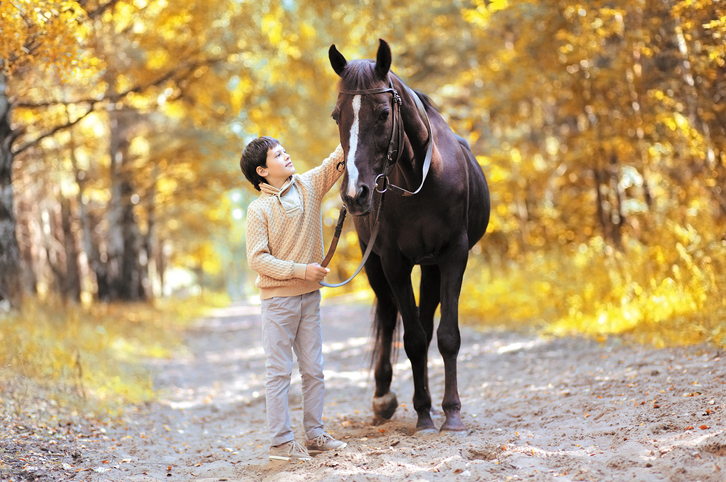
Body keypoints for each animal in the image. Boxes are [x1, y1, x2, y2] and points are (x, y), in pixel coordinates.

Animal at [327, 39, 491, 435]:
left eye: (384, 113)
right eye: (337, 115)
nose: (355, 195)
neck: (422, 180)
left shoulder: (453, 255)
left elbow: (446, 336)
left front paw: (451, 412)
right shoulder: (392, 262)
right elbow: (413, 339)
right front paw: (423, 414)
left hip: (430, 266)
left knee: (427, 323)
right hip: (374, 264)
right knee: (389, 317)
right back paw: (383, 398)